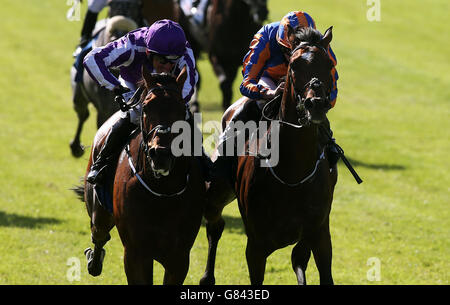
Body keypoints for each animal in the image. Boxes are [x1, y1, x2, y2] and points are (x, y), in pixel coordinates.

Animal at [200, 25, 338, 284]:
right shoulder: (256, 245)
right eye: (294, 64)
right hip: (216, 192)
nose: (315, 103)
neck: (293, 174)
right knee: (215, 225)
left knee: (297, 258)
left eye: (329, 64)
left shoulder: (319, 234)